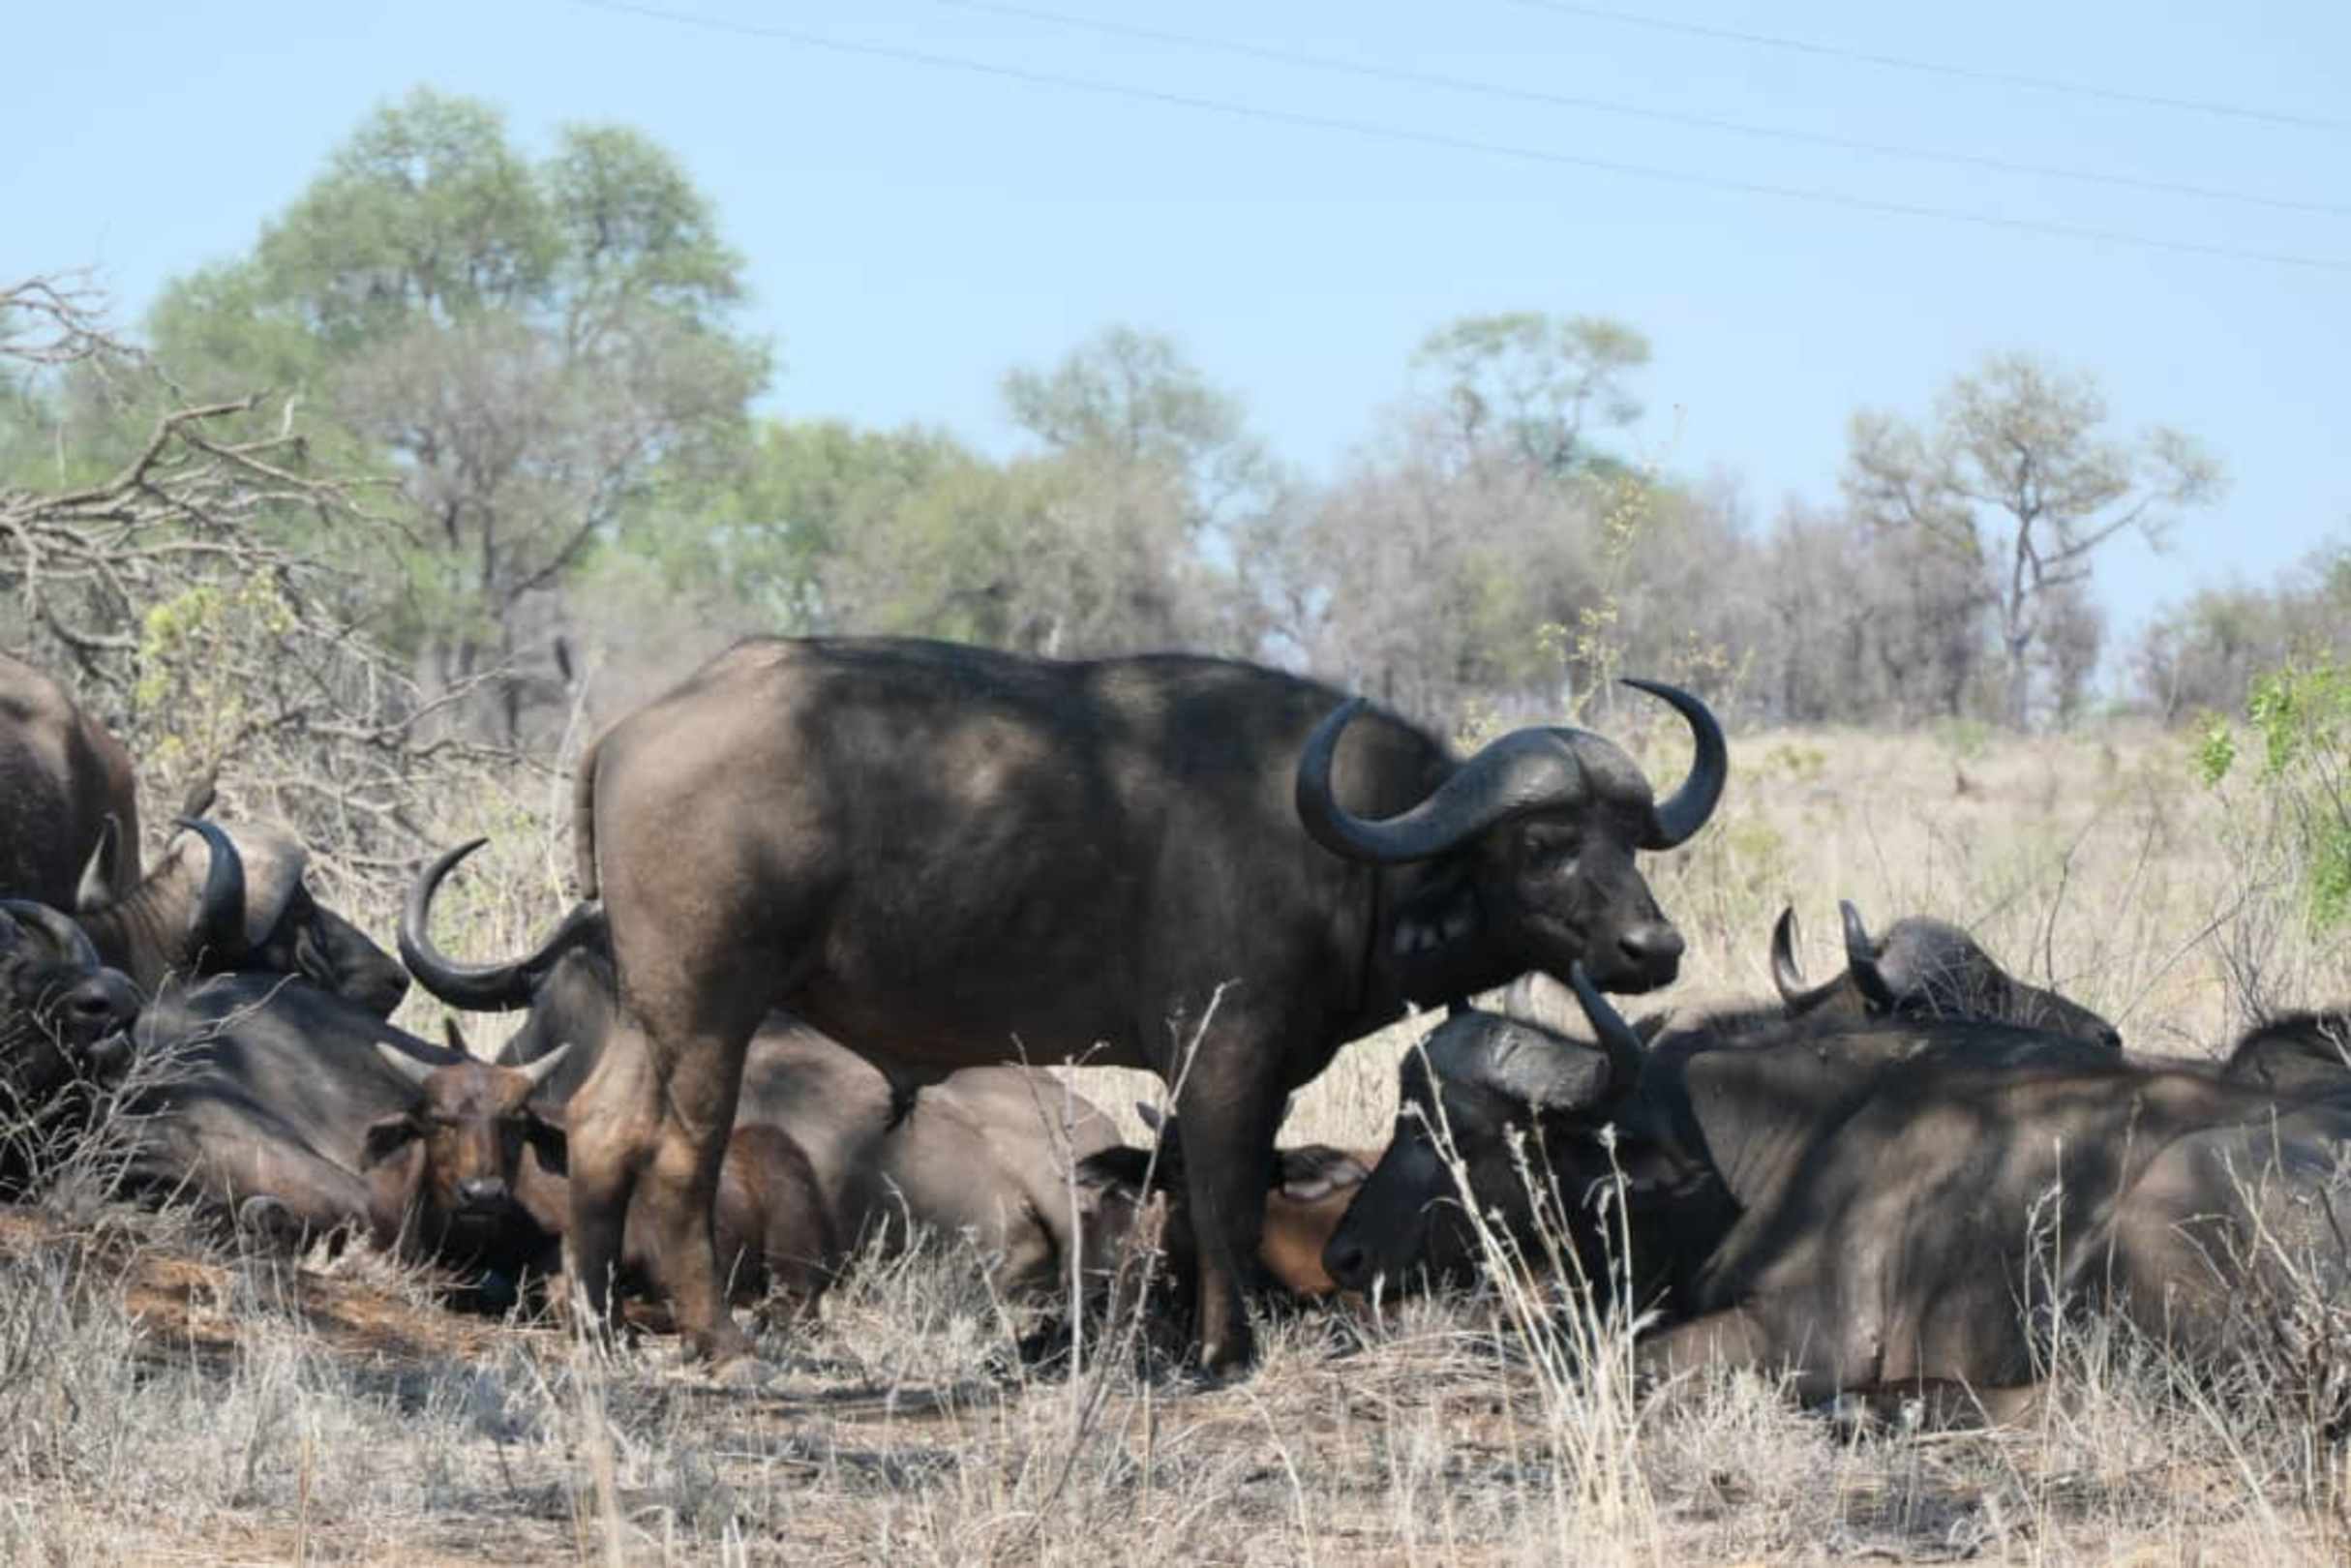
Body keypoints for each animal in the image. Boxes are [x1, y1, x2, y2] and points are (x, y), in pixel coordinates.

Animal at [445, 637, 1722, 1371]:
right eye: (1544, 842)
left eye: (1630, 834)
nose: (1652, 946)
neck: (1339, 847)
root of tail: (637, 728)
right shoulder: (1221, 1054)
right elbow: (1221, 1196)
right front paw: (1219, 1349)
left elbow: (1221, 1192)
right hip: (710, 1004)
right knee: (682, 1147)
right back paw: (719, 1341)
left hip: (651, 1009)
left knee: (605, 1126)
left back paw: (595, 1322)